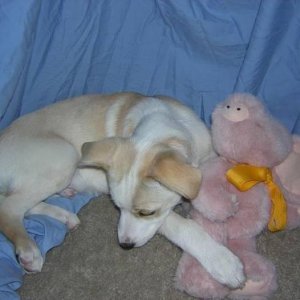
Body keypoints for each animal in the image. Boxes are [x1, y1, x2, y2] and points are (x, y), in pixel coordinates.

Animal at [0, 92, 245, 288]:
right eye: (117, 208)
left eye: (145, 212)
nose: (125, 245)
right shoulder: (163, 216)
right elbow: (183, 226)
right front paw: (222, 261)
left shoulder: (208, 156)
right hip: (64, 156)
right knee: (9, 207)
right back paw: (29, 251)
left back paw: (65, 213)